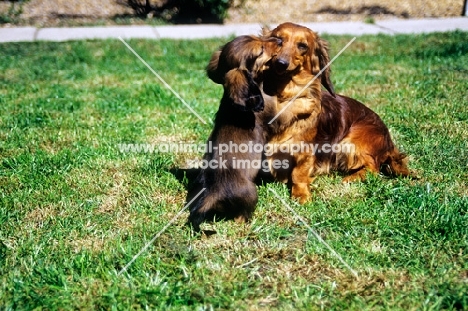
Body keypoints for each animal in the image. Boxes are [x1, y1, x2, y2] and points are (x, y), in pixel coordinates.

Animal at [187, 36, 282, 232]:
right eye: (261, 49)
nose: (280, 39)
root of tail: (213, 193)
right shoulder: (274, 112)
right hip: (251, 193)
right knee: (241, 216)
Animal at [262, 22, 412, 204]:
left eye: (302, 45)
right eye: (278, 40)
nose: (281, 63)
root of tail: (388, 140)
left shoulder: (305, 151)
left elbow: (298, 173)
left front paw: (301, 195)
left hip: (349, 142)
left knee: (373, 167)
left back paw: (351, 178)